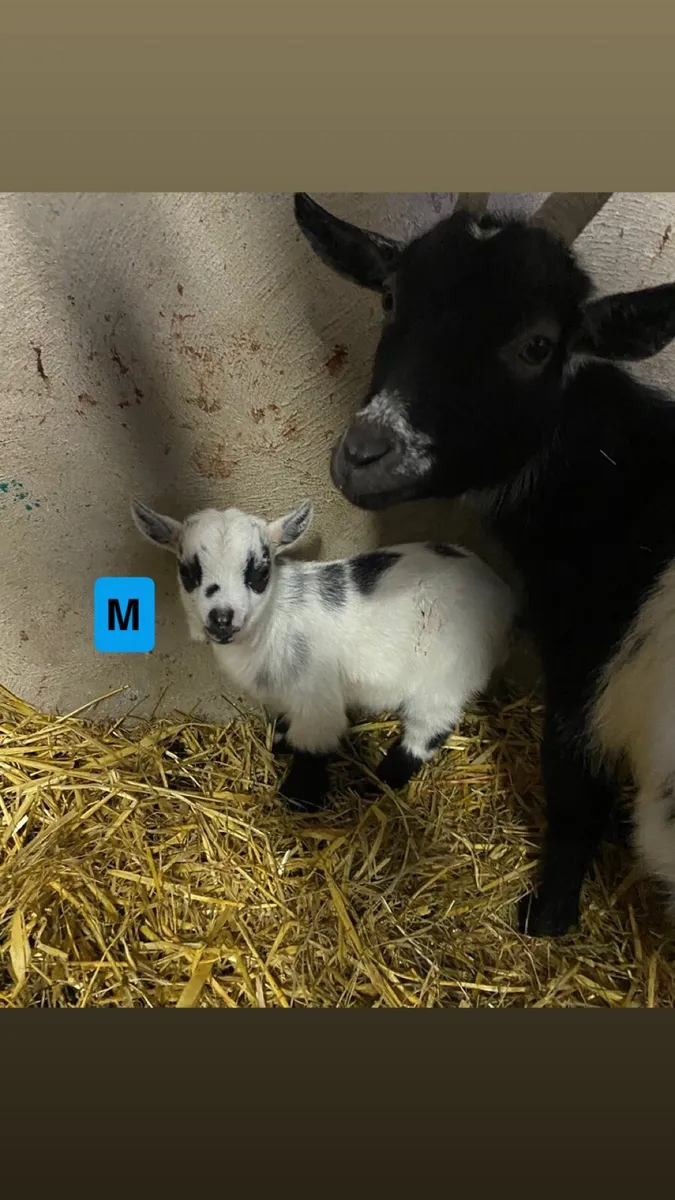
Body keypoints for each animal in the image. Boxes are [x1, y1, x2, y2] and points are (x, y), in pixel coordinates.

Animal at [131, 497, 516, 811]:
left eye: (260, 572)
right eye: (188, 571)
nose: (222, 619)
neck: (273, 621)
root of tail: (502, 593)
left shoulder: (315, 695)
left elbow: (312, 746)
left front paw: (299, 799)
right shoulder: (279, 694)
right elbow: (283, 727)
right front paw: (279, 748)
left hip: (447, 672)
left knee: (430, 726)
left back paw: (382, 780)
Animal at [294, 191, 675, 936]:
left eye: (536, 345)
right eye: (390, 298)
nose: (363, 456)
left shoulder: (590, 662)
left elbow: (569, 782)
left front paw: (547, 914)